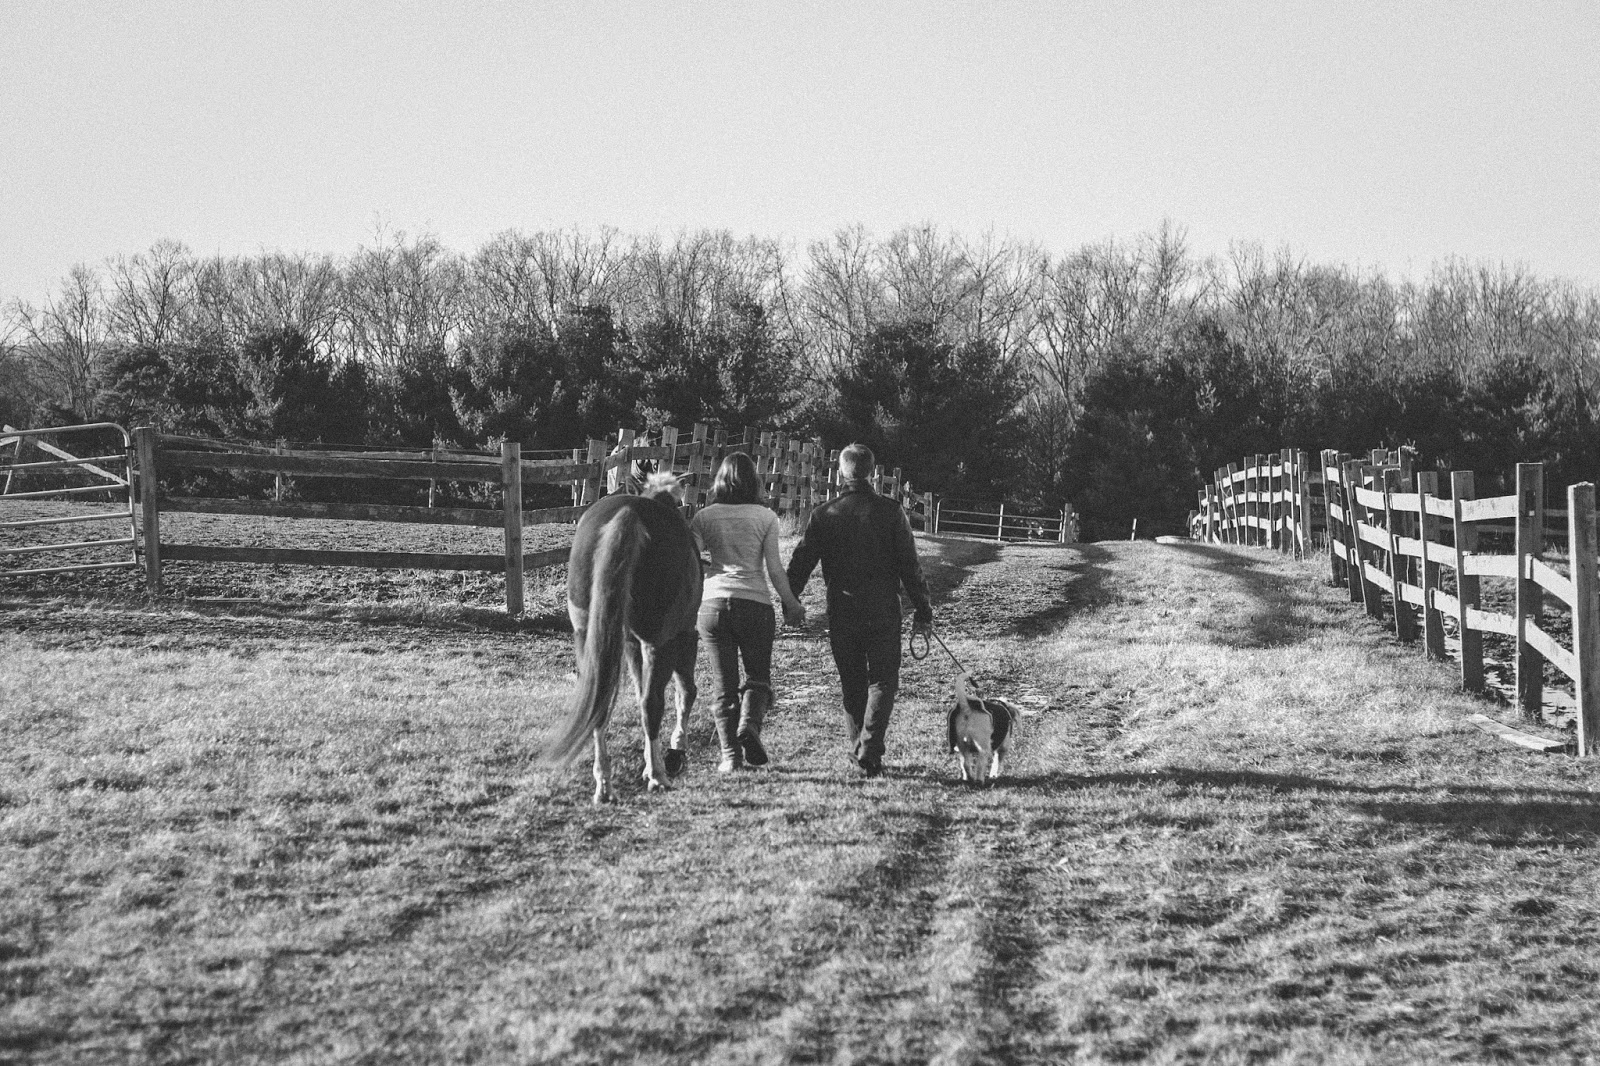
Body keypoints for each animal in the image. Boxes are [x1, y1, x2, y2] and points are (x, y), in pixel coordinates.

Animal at [542, 473, 701, 804]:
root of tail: (627, 513)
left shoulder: (629, 644)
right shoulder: (684, 635)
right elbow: (684, 691)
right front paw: (674, 749)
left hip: (587, 638)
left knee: (600, 705)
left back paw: (604, 786)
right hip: (658, 641)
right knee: (652, 704)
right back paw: (657, 776)